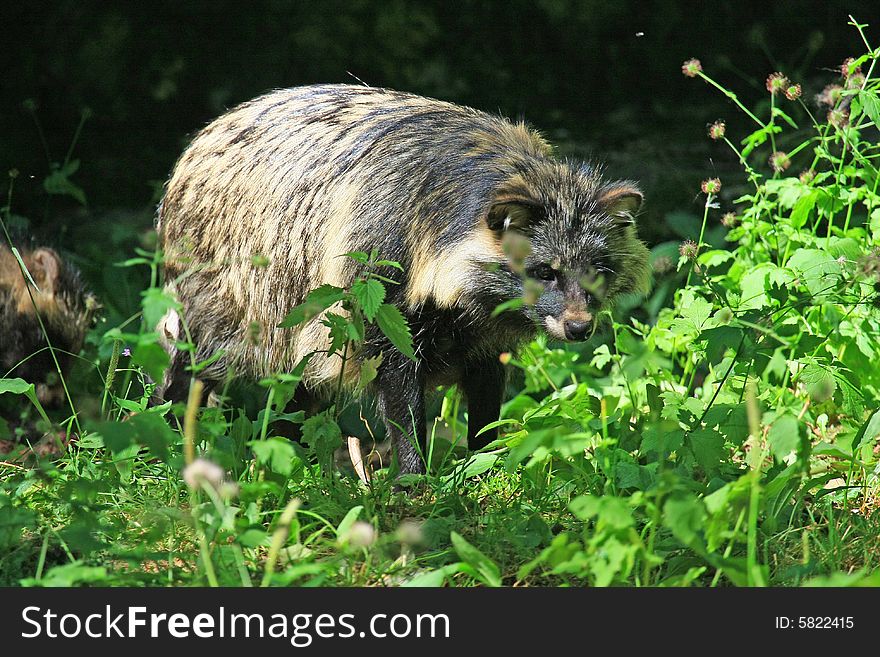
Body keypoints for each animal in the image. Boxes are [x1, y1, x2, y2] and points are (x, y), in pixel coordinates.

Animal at [156, 84, 652, 474]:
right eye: (545, 272)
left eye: (596, 271)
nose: (580, 327)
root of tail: (198, 143)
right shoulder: (378, 290)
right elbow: (399, 393)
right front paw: (413, 476)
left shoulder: (484, 336)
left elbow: (486, 394)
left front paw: (485, 461)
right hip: (231, 294)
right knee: (198, 365)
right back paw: (174, 434)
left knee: (298, 391)